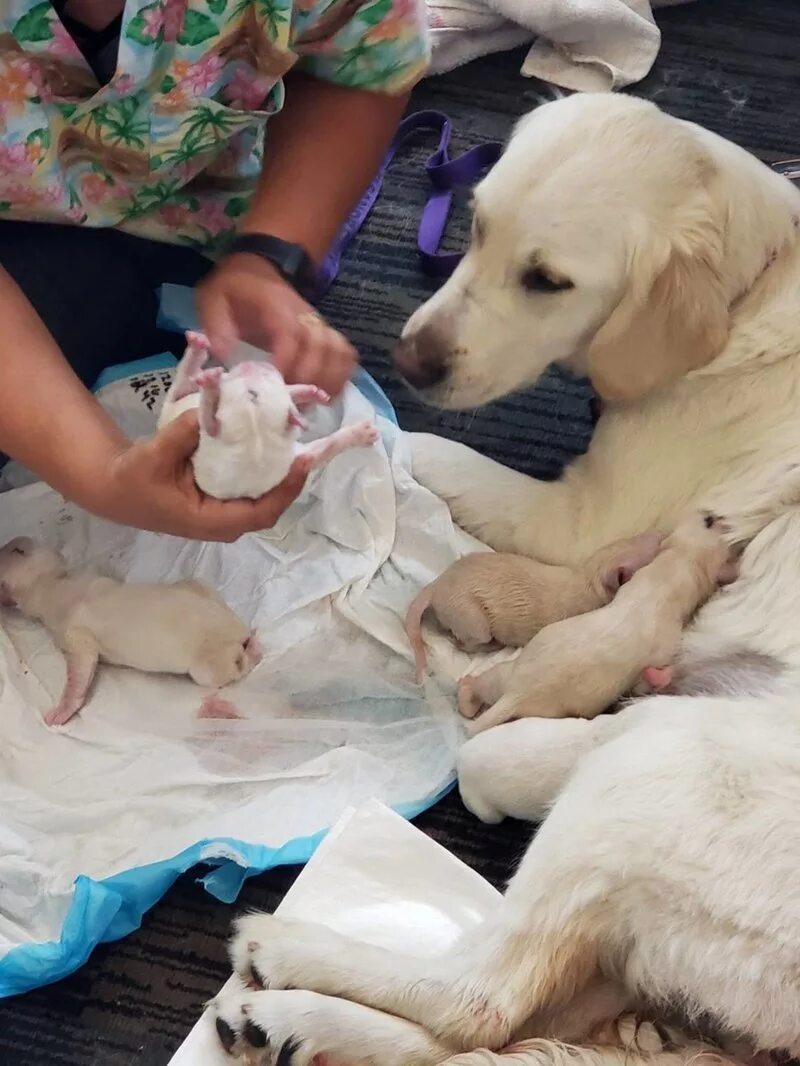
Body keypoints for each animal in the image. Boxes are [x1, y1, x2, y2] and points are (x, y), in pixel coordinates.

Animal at [0, 537, 260, 729]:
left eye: (12, 548)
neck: (52, 583)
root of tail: (238, 628)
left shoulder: (72, 631)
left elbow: (82, 666)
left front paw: (62, 711)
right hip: (203, 590)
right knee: (197, 583)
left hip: (211, 661)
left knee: (223, 670)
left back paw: (253, 652)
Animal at [160, 330, 381, 501]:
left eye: (253, 392)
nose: (254, 363)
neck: (255, 440)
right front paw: (212, 386)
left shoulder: (293, 459)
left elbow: (326, 446)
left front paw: (361, 433)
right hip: (174, 399)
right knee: (184, 380)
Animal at [407, 533, 665, 682]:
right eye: (647, 553)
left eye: (634, 539)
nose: (659, 534)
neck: (587, 577)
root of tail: (437, 586)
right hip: (468, 616)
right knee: (468, 640)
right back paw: (491, 644)